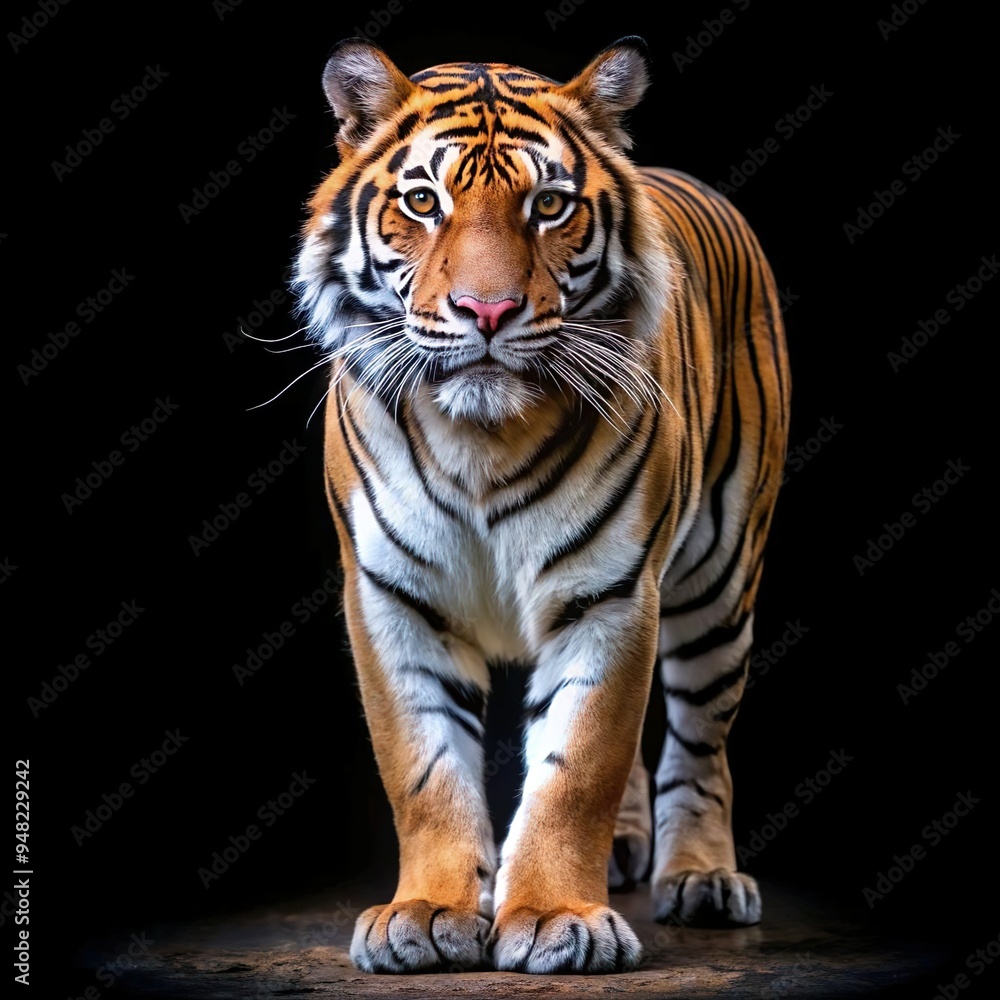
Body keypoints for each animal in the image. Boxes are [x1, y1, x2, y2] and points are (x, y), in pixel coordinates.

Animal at [292, 36, 790, 974]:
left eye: (550, 205)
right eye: (424, 200)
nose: (487, 310)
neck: (479, 442)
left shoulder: (613, 594)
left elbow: (579, 767)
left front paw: (557, 917)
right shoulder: (389, 597)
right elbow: (424, 768)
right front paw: (426, 913)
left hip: (719, 579)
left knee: (701, 740)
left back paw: (703, 879)